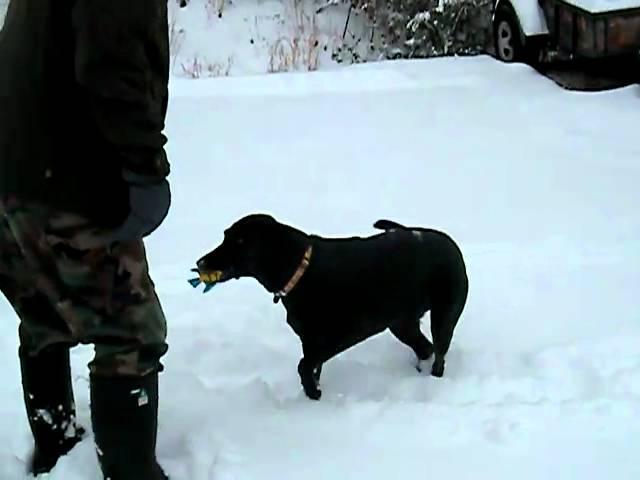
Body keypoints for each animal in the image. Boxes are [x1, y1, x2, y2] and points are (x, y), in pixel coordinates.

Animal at [195, 216, 470, 400]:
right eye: (226, 235)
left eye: (240, 240)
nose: (201, 262)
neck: (301, 269)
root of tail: (451, 244)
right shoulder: (310, 341)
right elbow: (309, 367)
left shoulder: (334, 338)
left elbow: (304, 366)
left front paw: (313, 394)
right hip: (401, 323)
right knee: (426, 348)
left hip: (443, 316)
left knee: (438, 353)